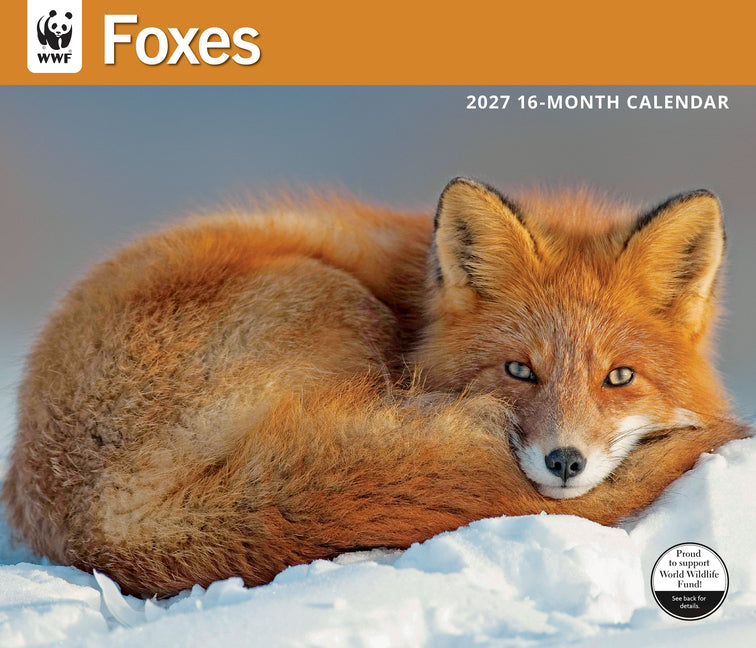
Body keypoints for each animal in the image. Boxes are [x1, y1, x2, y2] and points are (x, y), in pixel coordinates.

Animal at [2, 177, 749, 597]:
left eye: (619, 377)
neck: (416, 301)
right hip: (340, 300)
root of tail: (105, 522)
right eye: (519, 370)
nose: (565, 461)